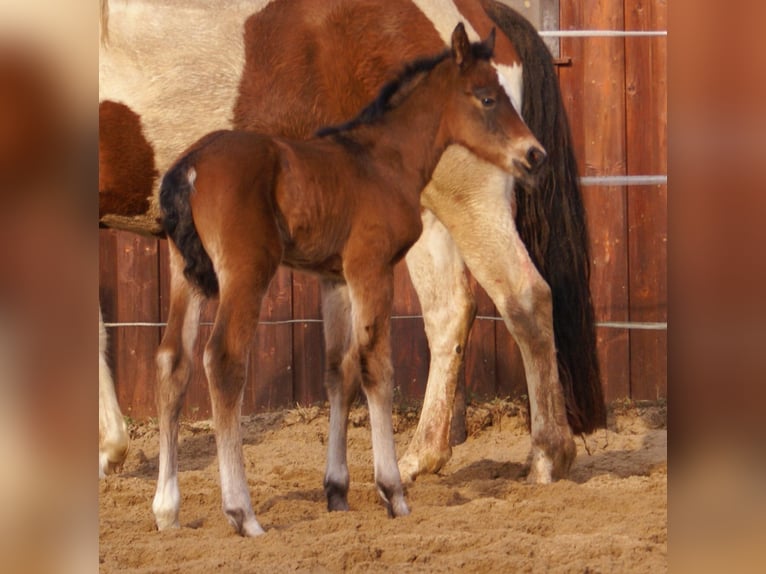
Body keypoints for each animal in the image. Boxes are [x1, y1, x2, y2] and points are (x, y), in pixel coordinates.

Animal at [100, 0, 608, 512]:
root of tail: (480, 14)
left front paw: (110, 450)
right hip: (428, 215)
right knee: (449, 312)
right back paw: (418, 457)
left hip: (469, 201)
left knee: (525, 297)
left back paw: (546, 456)